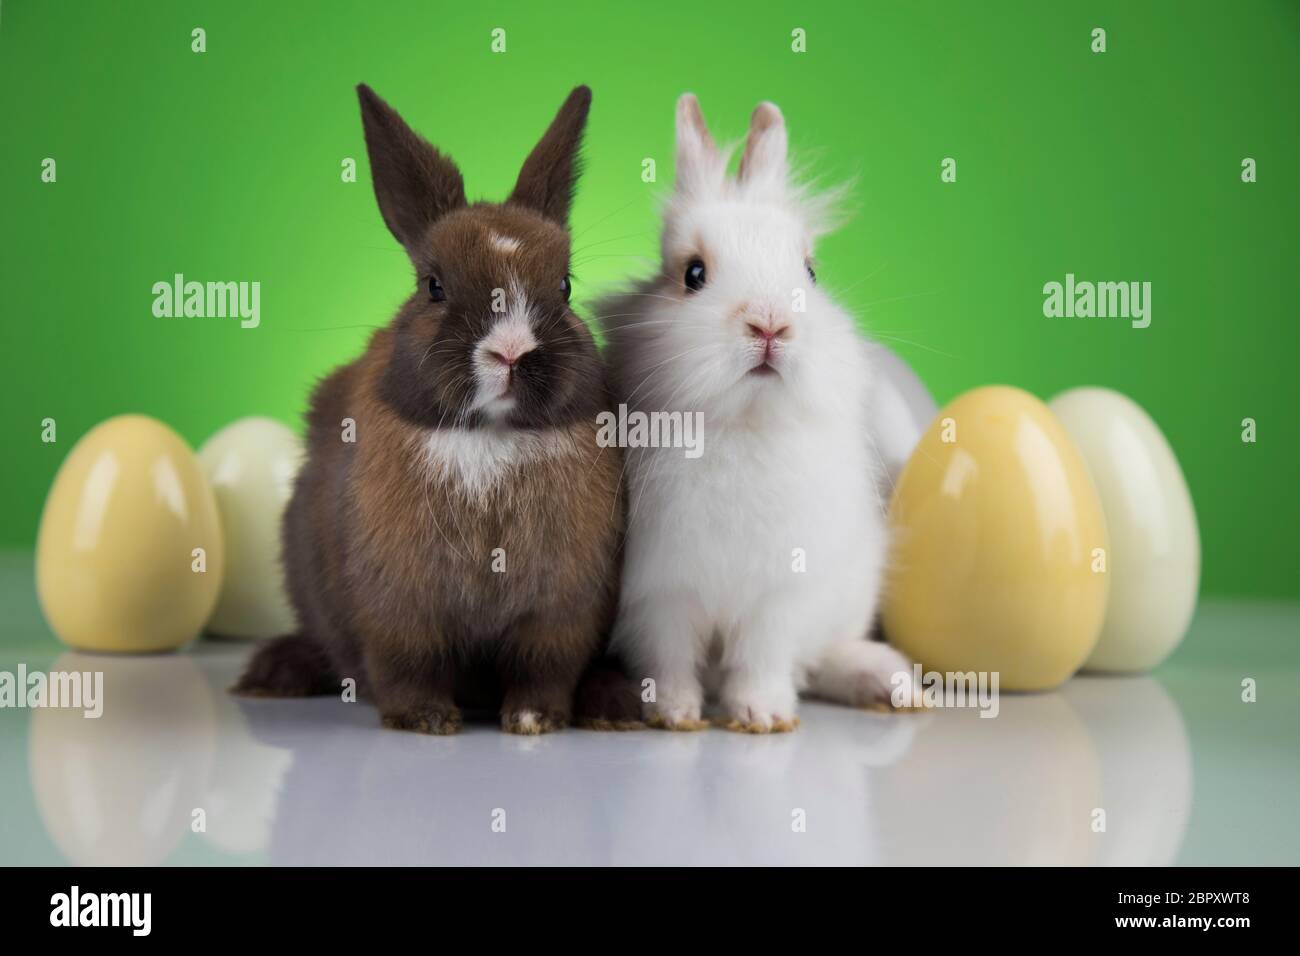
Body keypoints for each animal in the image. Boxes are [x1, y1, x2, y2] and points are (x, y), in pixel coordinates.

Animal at [232, 84, 625, 735]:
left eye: (566, 286)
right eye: (433, 286)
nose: (511, 351)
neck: (492, 438)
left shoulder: (562, 609)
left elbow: (544, 667)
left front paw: (533, 720)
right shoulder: (398, 608)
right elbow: (407, 664)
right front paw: (427, 720)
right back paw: (273, 673)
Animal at [599, 94, 913, 733]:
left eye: (810, 272)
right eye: (693, 274)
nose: (770, 323)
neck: (742, 428)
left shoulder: (780, 595)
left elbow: (761, 654)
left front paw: (761, 716)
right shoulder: (659, 594)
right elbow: (669, 654)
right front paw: (674, 713)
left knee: (822, 658)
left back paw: (887, 682)